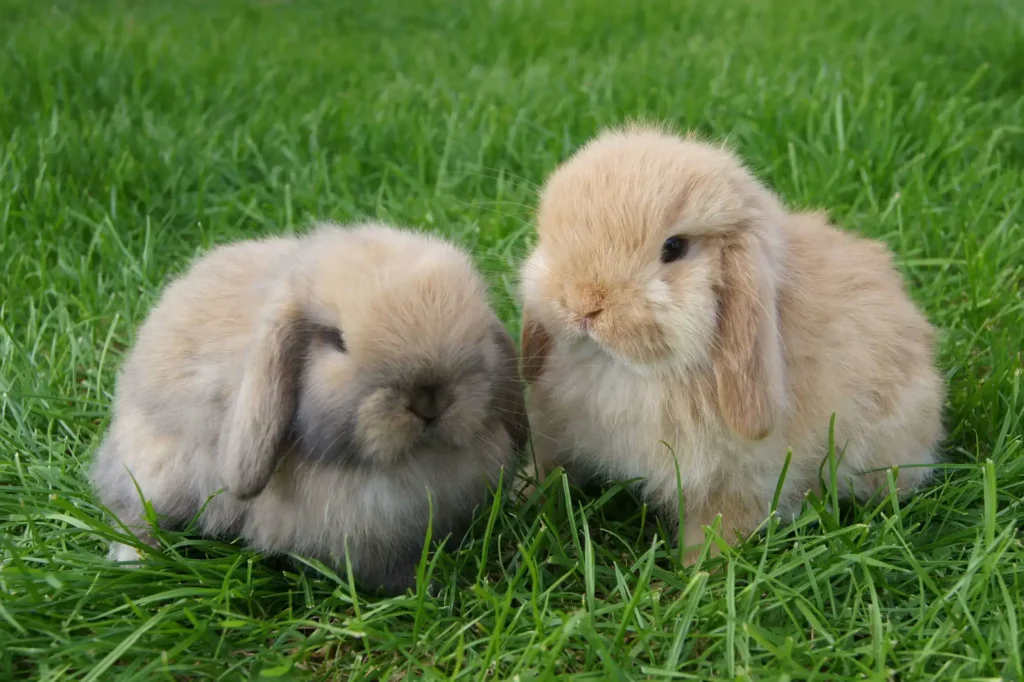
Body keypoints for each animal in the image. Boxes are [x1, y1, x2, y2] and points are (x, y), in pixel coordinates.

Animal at [90, 221, 529, 594]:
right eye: (336, 341)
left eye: (479, 335)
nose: (428, 400)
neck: (415, 461)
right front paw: (430, 587)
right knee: (131, 514)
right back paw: (136, 560)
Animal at [518, 123, 945, 561]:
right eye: (550, 242)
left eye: (674, 248)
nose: (584, 304)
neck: (622, 369)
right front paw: (522, 493)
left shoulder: (737, 480)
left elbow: (718, 525)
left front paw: (697, 567)